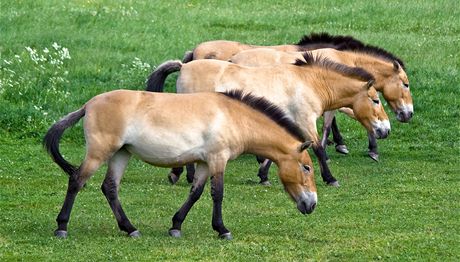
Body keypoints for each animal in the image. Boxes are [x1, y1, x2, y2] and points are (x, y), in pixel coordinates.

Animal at [43, 89, 316, 239]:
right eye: (306, 167)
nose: (312, 204)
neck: (233, 117)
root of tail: (89, 105)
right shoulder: (218, 159)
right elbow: (218, 194)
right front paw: (222, 230)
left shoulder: (205, 163)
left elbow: (195, 193)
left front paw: (176, 226)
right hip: (99, 153)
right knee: (76, 181)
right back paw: (62, 227)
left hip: (120, 154)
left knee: (109, 188)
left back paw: (130, 228)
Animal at [147, 51, 392, 186]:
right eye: (375, 100)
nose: (386, 130)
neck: (310, 83)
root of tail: (184, 66)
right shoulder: (305, 120)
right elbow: (318, 149)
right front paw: (330, 179)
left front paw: (263, 175)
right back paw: (180, 175)